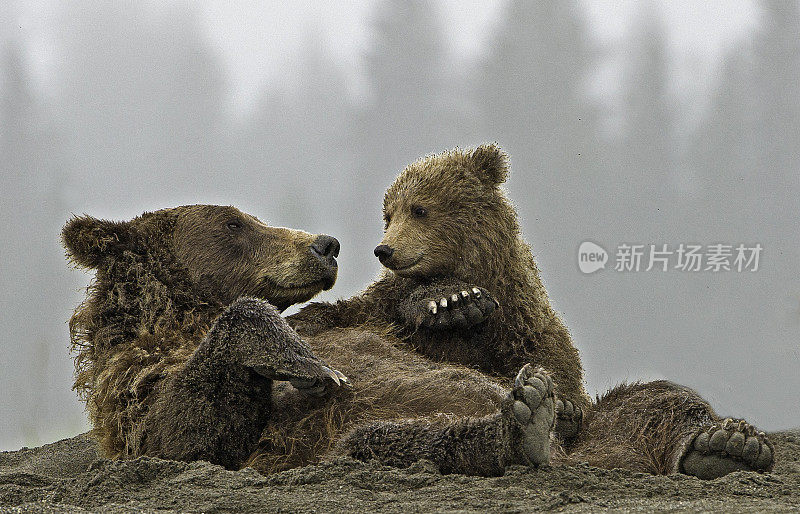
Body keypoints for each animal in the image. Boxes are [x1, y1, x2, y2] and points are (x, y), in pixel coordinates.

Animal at [64, 202, 556, 474]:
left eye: (250, 217)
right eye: (234, 224)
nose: (325, 245)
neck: (184, 318)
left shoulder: (333, 324)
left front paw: (451, 298)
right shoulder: (137, 381)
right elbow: (185, 433)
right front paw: (306, 363)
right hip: (343, 441)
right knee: (384, 441)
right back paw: (523, 422)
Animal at [284, 143, 772, 476]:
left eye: (419, 208)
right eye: (389, 212)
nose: (384, 249)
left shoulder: (526, 326)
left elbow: (558, 371)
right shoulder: (380, 311)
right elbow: (329, 319)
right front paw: (450, 301)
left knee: (654, 398)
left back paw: (727, 445)